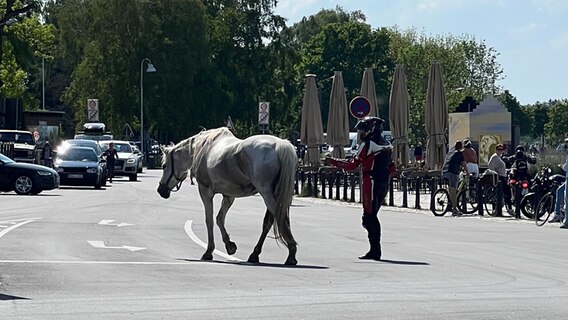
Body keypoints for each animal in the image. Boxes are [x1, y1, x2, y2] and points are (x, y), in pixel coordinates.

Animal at [155, 127, 298, 264]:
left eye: (164, 165)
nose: (161, 190)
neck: (202, 149)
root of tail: (279, 145)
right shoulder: (229, 196)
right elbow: (220, 218)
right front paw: (229, 245)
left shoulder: (205, 192)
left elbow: (209, 220)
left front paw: (209, 251)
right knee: (269, 222)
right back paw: (255, 254)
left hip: (267, 195)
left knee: (281, 219)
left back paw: (291, 252)